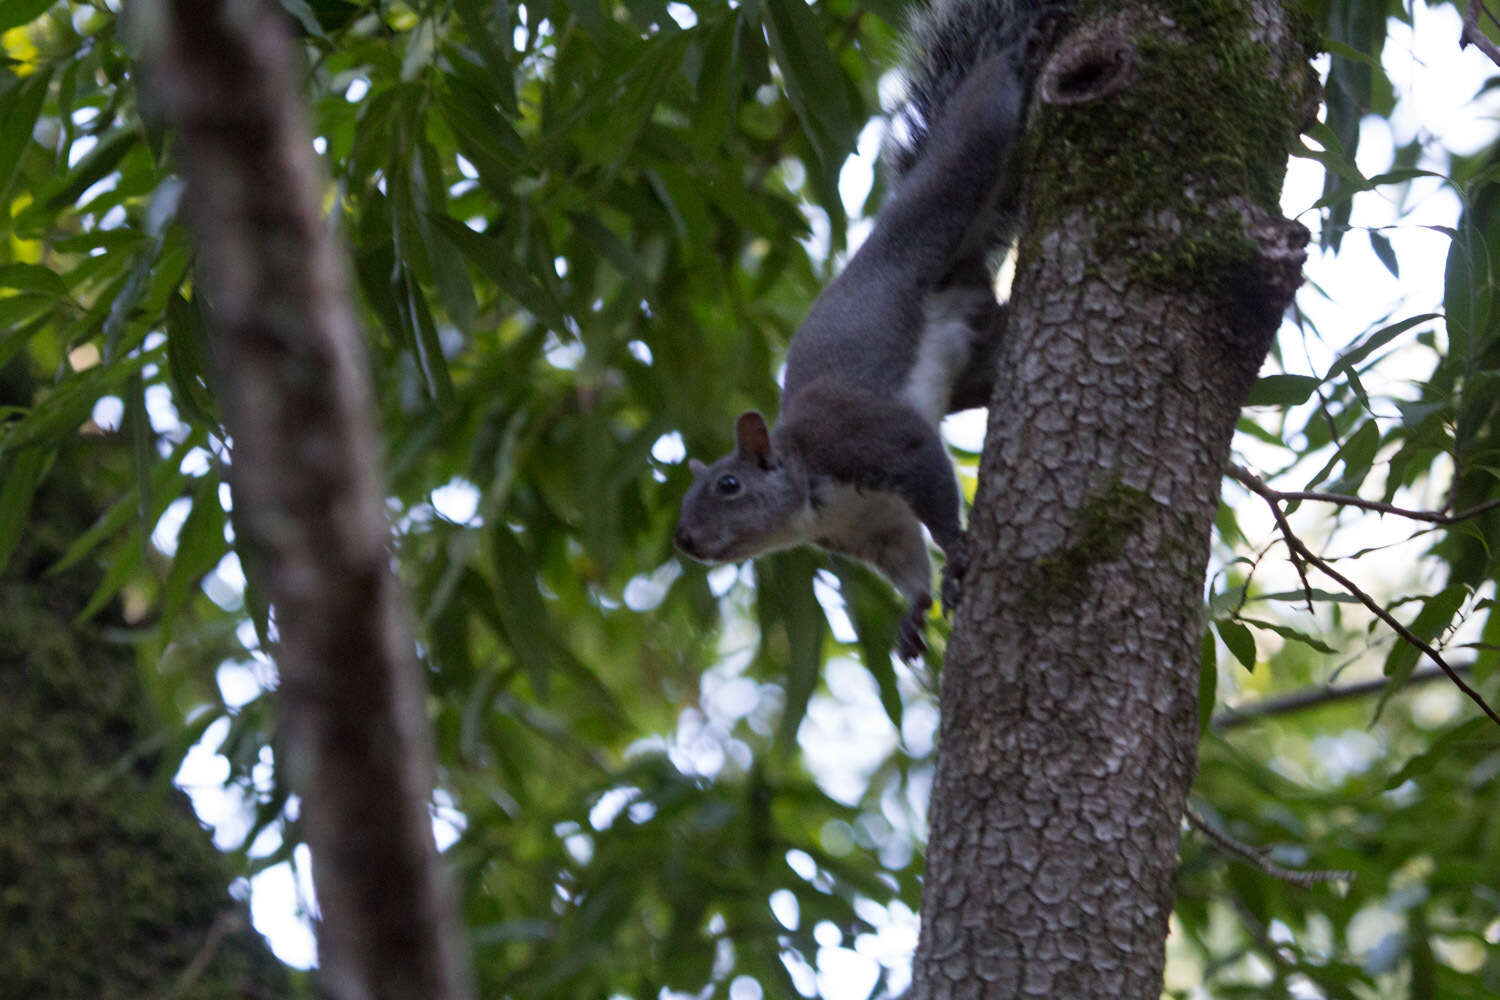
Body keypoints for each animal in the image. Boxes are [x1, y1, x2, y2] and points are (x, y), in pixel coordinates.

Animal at [672, 1, 1056, 665]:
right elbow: (906, 558)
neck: (809, 494)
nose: (683, 539)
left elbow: (926, 470)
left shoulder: (866, 437)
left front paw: (957, 551)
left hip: (956, 177)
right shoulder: (874, 527)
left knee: (982, 118)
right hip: (975, 361)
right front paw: (914, 612)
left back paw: (1019, 53)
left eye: (728, 485)